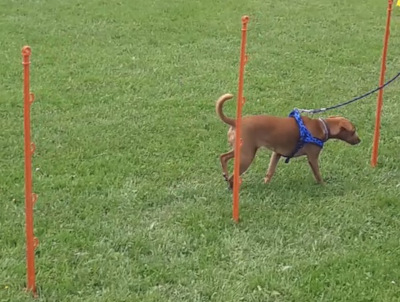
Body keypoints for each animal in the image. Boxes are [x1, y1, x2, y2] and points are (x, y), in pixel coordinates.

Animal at [217, 94, 360, 189]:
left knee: (223, 157)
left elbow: (270, 171)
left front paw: (266, 184)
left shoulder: (277, 154)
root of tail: (235, 122)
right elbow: (318, 174)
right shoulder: (312, 158)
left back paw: (225, 175)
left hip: (241, 150)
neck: (321, 126)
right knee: (232, 175)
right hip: (247, 156)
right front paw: (324, 185)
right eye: (353, 131)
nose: (359, 140)